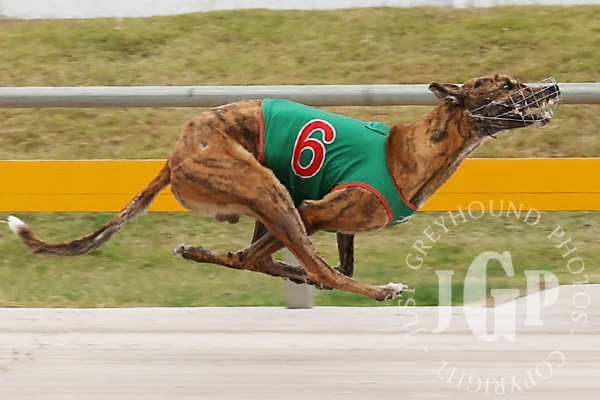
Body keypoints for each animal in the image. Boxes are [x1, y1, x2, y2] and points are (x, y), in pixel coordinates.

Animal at [6, 74, 560, 301]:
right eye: (507, 85)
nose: (554, 87)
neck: (412, 147)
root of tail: (175, 153)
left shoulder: (336, 221)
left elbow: (330, 262)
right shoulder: (314, 211)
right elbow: (326, 268)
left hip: (270, 198)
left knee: (253, 258)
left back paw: (207, 252)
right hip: (269, 190)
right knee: (287, 264)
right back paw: (379, 290)